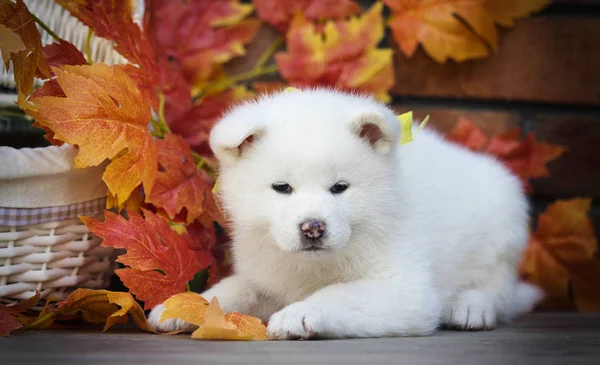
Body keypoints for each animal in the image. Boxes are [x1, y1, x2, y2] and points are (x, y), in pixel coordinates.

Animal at [148, 86, 540, 336]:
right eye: (282, 188)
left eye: (339, 188)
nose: (313, 227)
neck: (314, 266)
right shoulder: (266, 276)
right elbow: (228, 290)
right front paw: (181, 306)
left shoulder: (404, 288)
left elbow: (339, 294)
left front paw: (300, 314)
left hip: (503, 222)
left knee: (496, 288)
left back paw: (470, 307)